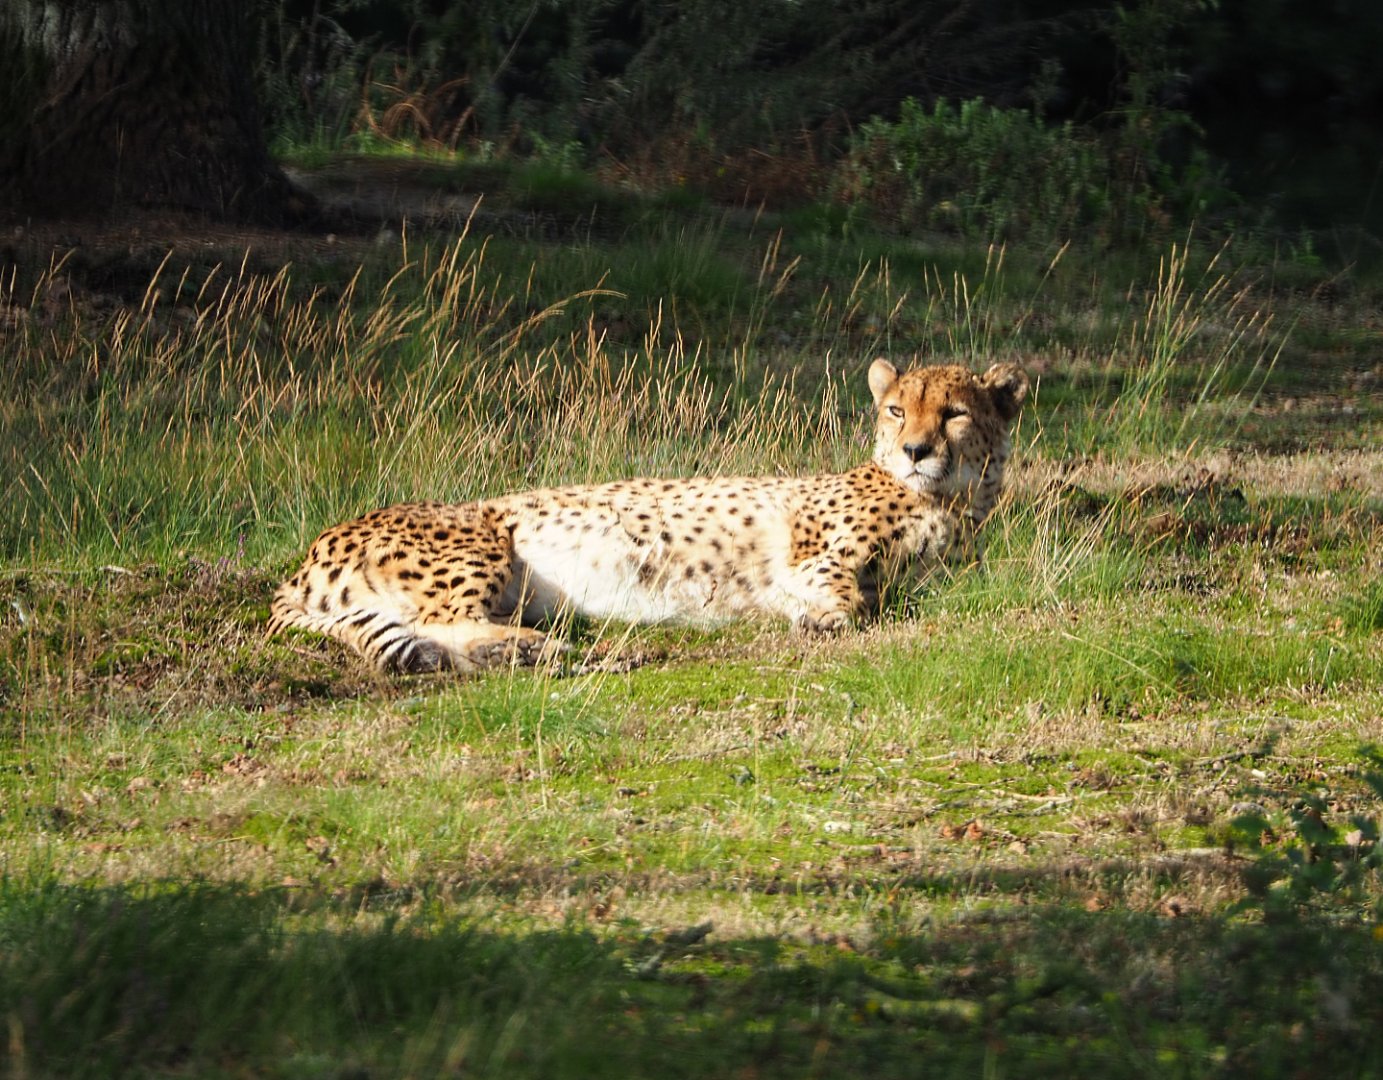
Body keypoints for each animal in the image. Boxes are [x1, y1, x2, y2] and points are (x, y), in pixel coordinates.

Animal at [268, 359, 1029, 673]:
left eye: (953, 413)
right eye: (897, 409)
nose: (914, 450)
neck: (948, 497)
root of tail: (307, 554)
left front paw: (817, 617)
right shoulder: (809, 552)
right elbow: (849, 594)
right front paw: (828, 617)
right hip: (479, 543)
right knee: (436, 621)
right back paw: (537, 648)